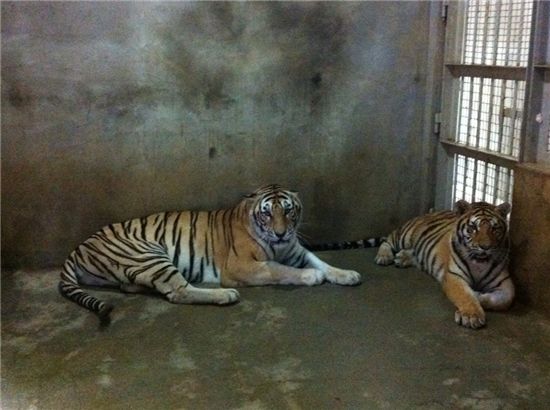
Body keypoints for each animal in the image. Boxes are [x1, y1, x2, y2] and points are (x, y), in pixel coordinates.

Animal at [59, 183, 362, 324]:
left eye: (288, 210)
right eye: (267, 213)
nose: (280, 233)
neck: (280, 246)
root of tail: (79, 246)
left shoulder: (295, 249)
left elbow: (321, 261)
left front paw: (347, 274)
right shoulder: (241, 266)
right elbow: (280, 269)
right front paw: (310, 276)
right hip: (149, 253)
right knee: (178, 292)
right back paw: (225, 295)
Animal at [378, 200, 516, 328]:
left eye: (495, 229)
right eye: (472, 228)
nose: (485, 247)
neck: (479, 263)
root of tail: (432, 211)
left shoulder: (505, 284)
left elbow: (504, 300)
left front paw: (478, 296)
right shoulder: (454, 276)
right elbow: (464, 295)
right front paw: (472, 316)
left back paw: (402, 258)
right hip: (404, 235)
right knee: (388, 240)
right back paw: (384, 257)